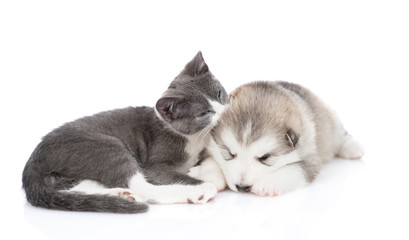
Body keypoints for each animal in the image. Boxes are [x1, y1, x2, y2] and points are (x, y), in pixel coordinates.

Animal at [22, 51, 228, 213]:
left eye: (219, 93)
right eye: (204, 113)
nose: (225, 111)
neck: (193, 139)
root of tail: (33, 161)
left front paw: (202, 170)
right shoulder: (154, 163)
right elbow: (165, 174)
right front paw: (198, 179)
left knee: (73, 187)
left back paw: (122, 195)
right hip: (104, 147)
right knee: (142, 186)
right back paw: (198, 192)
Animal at [191, 81, 364, 196]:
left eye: (265, 157)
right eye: (228, 153)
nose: (241, 187)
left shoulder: (310, 159)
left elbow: (293, 169)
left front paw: (268, 184)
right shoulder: (208, 147)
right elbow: (211, 161)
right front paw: (211, 177)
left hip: (332, 121)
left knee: (341, 135)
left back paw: (352, 148)